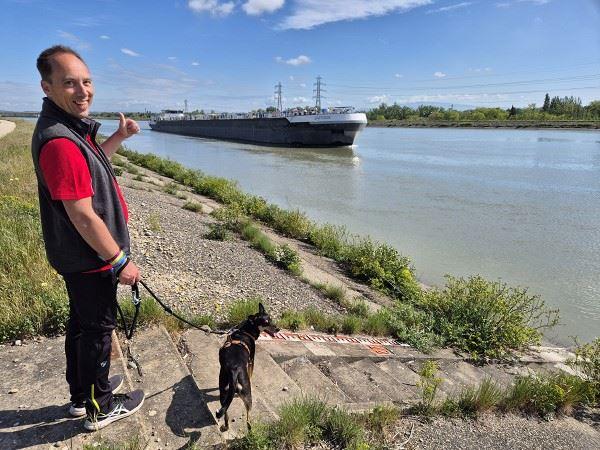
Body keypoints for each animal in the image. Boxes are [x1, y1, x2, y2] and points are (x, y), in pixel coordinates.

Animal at [215, 302, 279, 432]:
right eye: (266, 322)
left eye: (271, 319)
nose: (278, 329)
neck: (245, 330)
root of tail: (234, 370)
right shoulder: (251, 361)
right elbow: (251, 373)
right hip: (248, 396)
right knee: (248, 419)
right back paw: (251, 430)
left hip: (223, 394)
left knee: (225, 412)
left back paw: (226, 426)